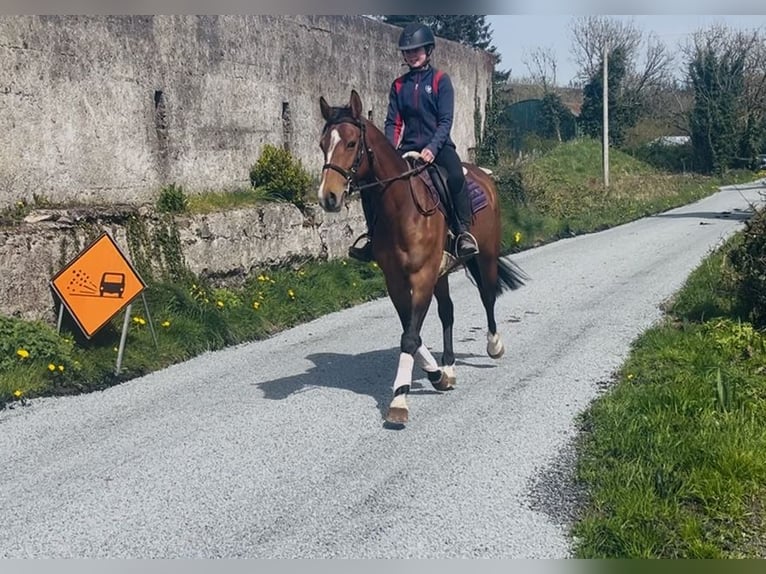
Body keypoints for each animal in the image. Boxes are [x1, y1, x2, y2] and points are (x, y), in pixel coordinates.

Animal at [317, 89, 527, 425]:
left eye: (350, 143)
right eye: (323, 144)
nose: (328, 197)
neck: (401, 209)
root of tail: (483, 176)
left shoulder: (422, 276)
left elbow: (410, 337)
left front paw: (400, 400)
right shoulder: (396, 280)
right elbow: (410, 332)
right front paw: (437, 375)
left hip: (485, 257)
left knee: (487, 295)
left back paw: (494, 345)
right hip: (441, 274)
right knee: (448, 312)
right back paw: (449, 366)